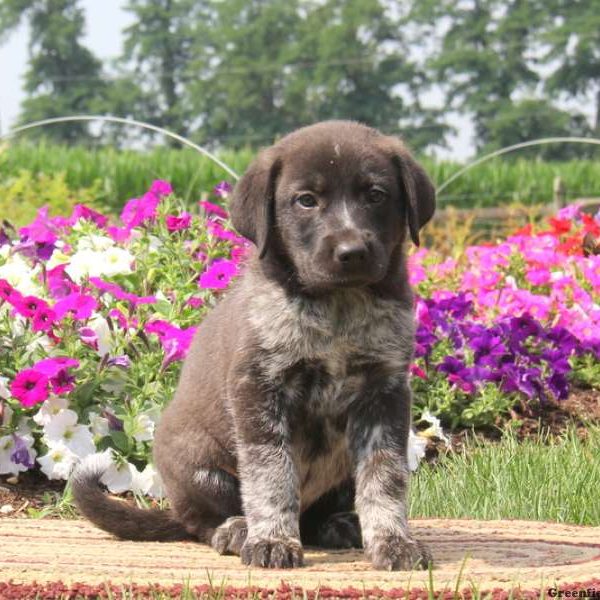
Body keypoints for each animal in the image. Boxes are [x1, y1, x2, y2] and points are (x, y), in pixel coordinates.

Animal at [71, 118, 436, 572]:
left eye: (375, 194)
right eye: (306, 200)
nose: (351, 252)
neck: (338, 307)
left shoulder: (384, 392)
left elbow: (384, 477)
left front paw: (393, 540)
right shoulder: (259, 387)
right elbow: (271, 474)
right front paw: (273, 540)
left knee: (318, 512)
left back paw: (338, 524)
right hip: (196, 466)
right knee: (201, 520)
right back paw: (237, 529)